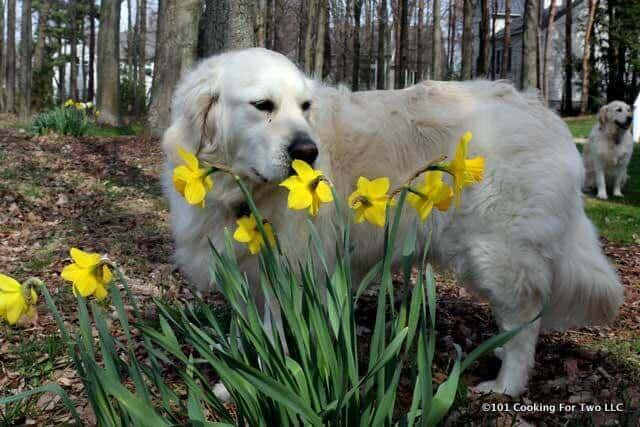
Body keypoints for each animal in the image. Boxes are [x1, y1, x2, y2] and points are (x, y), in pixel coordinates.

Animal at [161, 48, 624, 400]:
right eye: (263, 106)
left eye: (305, 107)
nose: (308, 152)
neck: (240, 190)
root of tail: (545, 114)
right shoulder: (244, 271)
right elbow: (247, 332)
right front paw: (235, 381)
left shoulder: (288, 273)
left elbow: (271, 337)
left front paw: (259, 382)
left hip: (499, 253)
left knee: (524, 325)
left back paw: (505, 385)